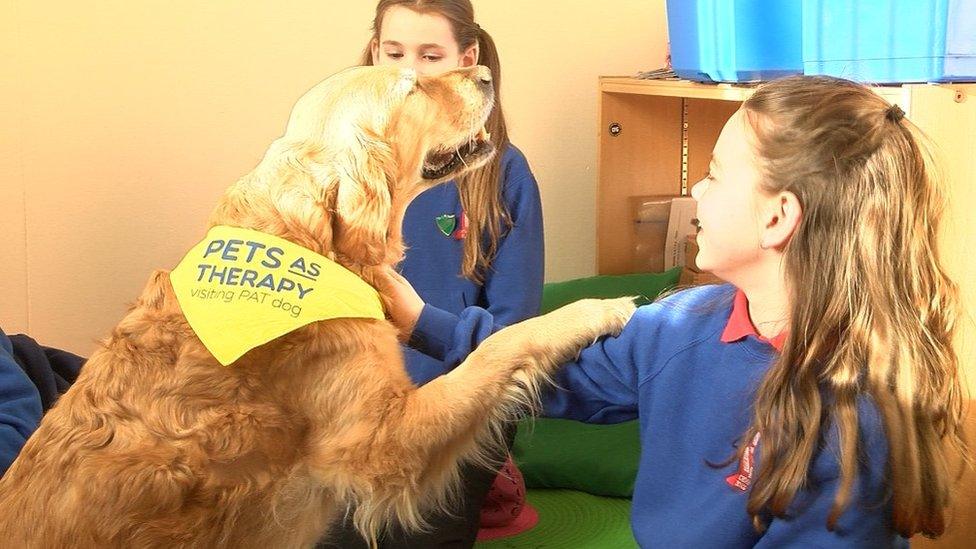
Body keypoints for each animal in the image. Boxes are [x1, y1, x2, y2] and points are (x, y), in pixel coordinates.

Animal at [0, 66, 632, 544]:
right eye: (411, 85)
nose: (483, 73)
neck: (308, 240)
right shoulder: (385, 440)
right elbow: (501, 343)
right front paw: (595, 309)